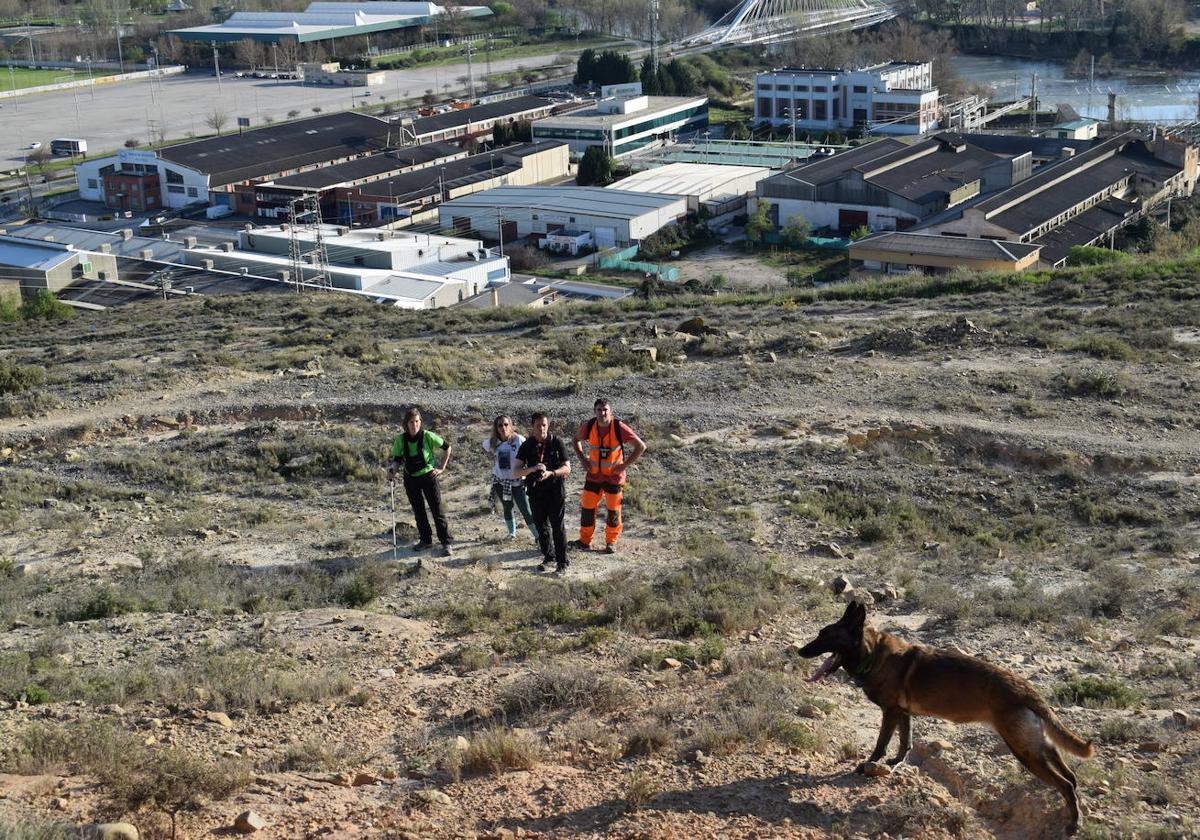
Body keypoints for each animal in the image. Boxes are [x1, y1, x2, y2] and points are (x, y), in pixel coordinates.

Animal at [796, 604, 1099, 835]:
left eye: (824, 635)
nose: (799, 651)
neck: (872, 654)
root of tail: (1027, 690)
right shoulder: (903, 714)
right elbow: (904, 742)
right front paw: (895, 764)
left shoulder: (890, 713)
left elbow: (881, 744)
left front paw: (869, 765)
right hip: (1036, 746)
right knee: (1071, 777)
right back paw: (1075, 812)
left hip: (1024, 752)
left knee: (1065, 784)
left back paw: (1073, 824)